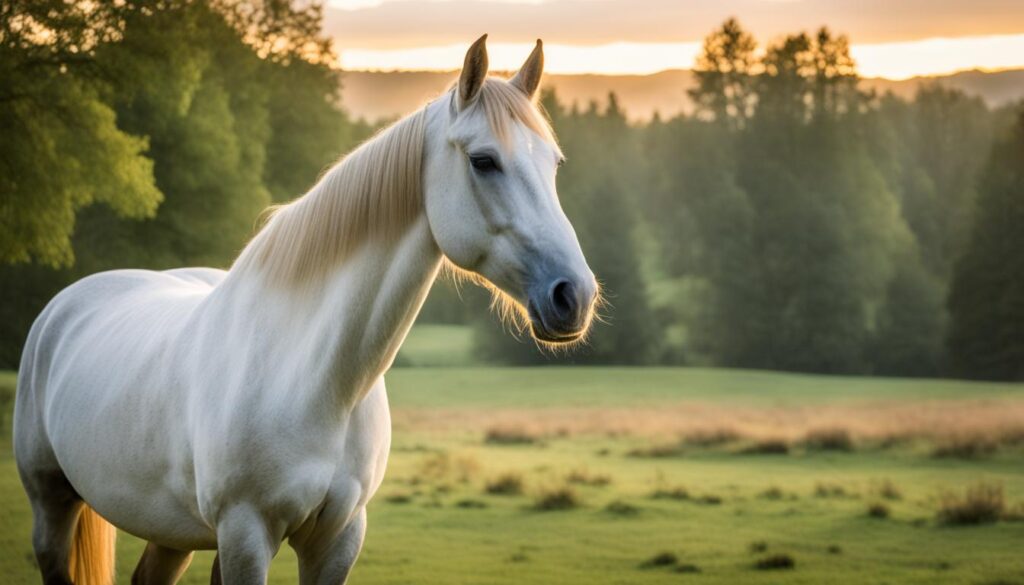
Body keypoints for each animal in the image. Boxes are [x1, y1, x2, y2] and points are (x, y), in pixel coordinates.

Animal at [12, 36, 598, 585]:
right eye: (483, 161)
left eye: (554, 164)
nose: (574, 296)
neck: (316, 379)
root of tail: (69, 302)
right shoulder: (246, 533)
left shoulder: (337, 539)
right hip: (52, 503)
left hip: (172, 531)